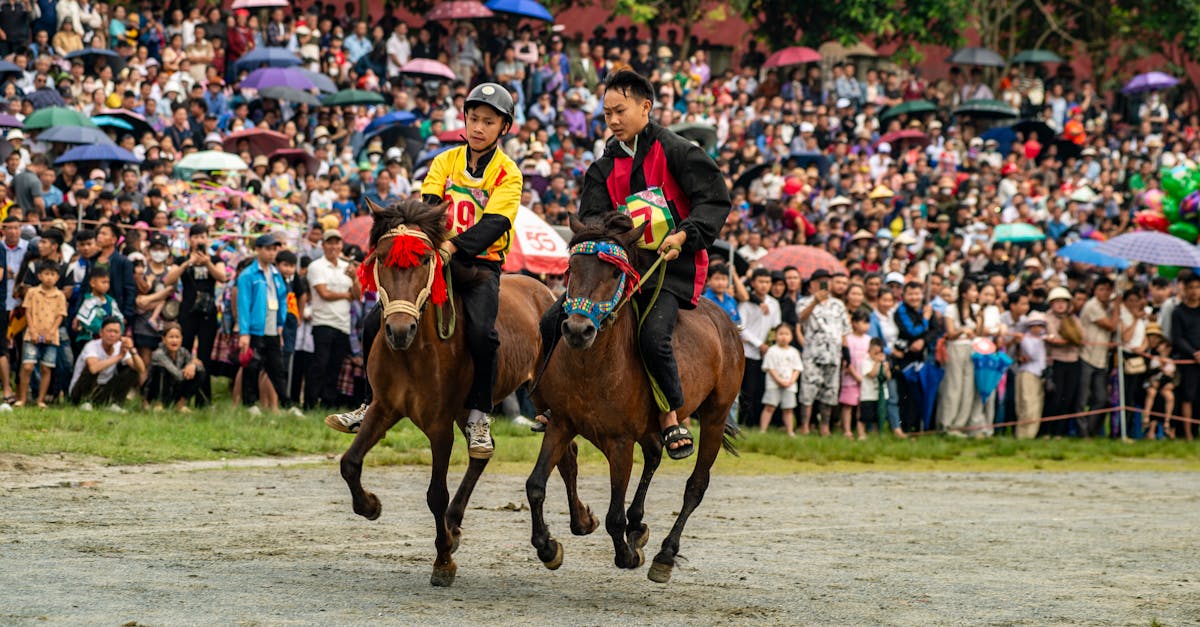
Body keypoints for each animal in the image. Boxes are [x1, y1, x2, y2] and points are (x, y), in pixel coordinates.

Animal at [339, 198, 597, 587]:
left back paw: (565, 532)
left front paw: (443, 560)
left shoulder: (438, 425)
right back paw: (458, 522)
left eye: (424, 260)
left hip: (540, 395)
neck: (414, 351)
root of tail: (546, 291)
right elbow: (350, 463)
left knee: (565, 454)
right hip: (471, 408)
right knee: (486, 455)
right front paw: (370, 505)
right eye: (381, 258)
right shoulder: (384, 408)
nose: (399, 330)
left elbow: (435, 493)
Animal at [527, 212, 744, 583]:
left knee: (695, 485)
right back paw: (638, 525)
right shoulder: (562, 424)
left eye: (615, 273)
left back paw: (664, 554)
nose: (578, 329)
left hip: (716, 414)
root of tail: (728, 323)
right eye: (571, 266)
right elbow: (536, 485)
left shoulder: (620, 441)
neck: (592, 365)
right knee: (655, 453)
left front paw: (627, 555)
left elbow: (614, 515)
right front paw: (548, 547)